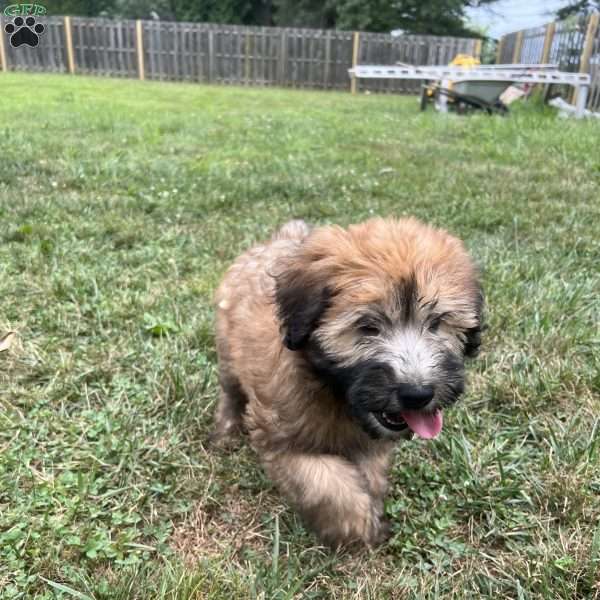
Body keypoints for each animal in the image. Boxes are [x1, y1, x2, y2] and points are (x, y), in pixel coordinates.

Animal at [211, 218, 482, 548]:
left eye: (437, 323)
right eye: (368, 327)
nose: (418, 394)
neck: (333, 391)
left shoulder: (368, 441)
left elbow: (369, 473)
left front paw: (372, 508)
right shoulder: (280, 438)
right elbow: (327, 484)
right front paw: (357, 526)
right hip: (228, 351)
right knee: (231, 392)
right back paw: (225, 431)